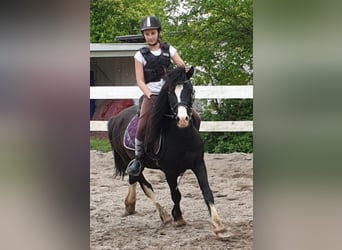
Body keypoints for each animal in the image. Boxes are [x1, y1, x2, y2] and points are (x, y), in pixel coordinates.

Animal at [108, 66, 228, 238]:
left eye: (191, 90)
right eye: (170, 92)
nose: (183, 119)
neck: (182, 137)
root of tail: (116, 118)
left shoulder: (199, 164)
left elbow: (207, 191)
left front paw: (218, 225)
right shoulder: (170, 172)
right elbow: (175, 195)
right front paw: (178, 218)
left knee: (134, 180)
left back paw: (132, 206)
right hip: (130, 160)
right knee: (142, 182)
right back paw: (162, 214)